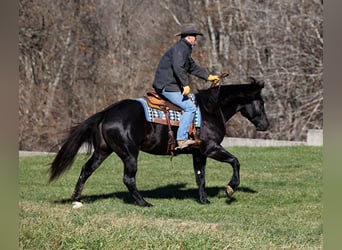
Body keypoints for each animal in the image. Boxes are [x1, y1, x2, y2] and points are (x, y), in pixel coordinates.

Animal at [49, 78, 268, 207]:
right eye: (261, 102)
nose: (265, 124)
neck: (210, 110)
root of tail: (106, 112)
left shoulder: (198, 153)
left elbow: (200, 177)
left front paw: (203, 200)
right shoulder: (211, 148)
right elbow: (235, 161)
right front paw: (230, 188)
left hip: (103, 151)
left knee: (86, 170)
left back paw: (76, 199)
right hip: (129, 154)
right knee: (128, 179)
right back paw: (143, 203)